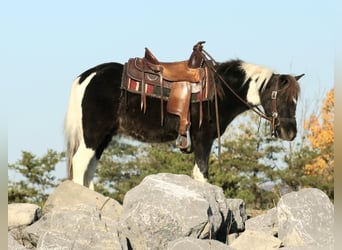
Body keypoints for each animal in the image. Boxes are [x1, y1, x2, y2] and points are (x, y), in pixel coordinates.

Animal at [64, 56, 302, 189]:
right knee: (80, 163)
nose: (290, 133)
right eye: (280, 97)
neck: (219, 91)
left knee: (89, 169)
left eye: (296, 100)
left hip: (103, 138)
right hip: (92, 134)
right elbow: (202, 174)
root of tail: (87, 76)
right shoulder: (202, 138)